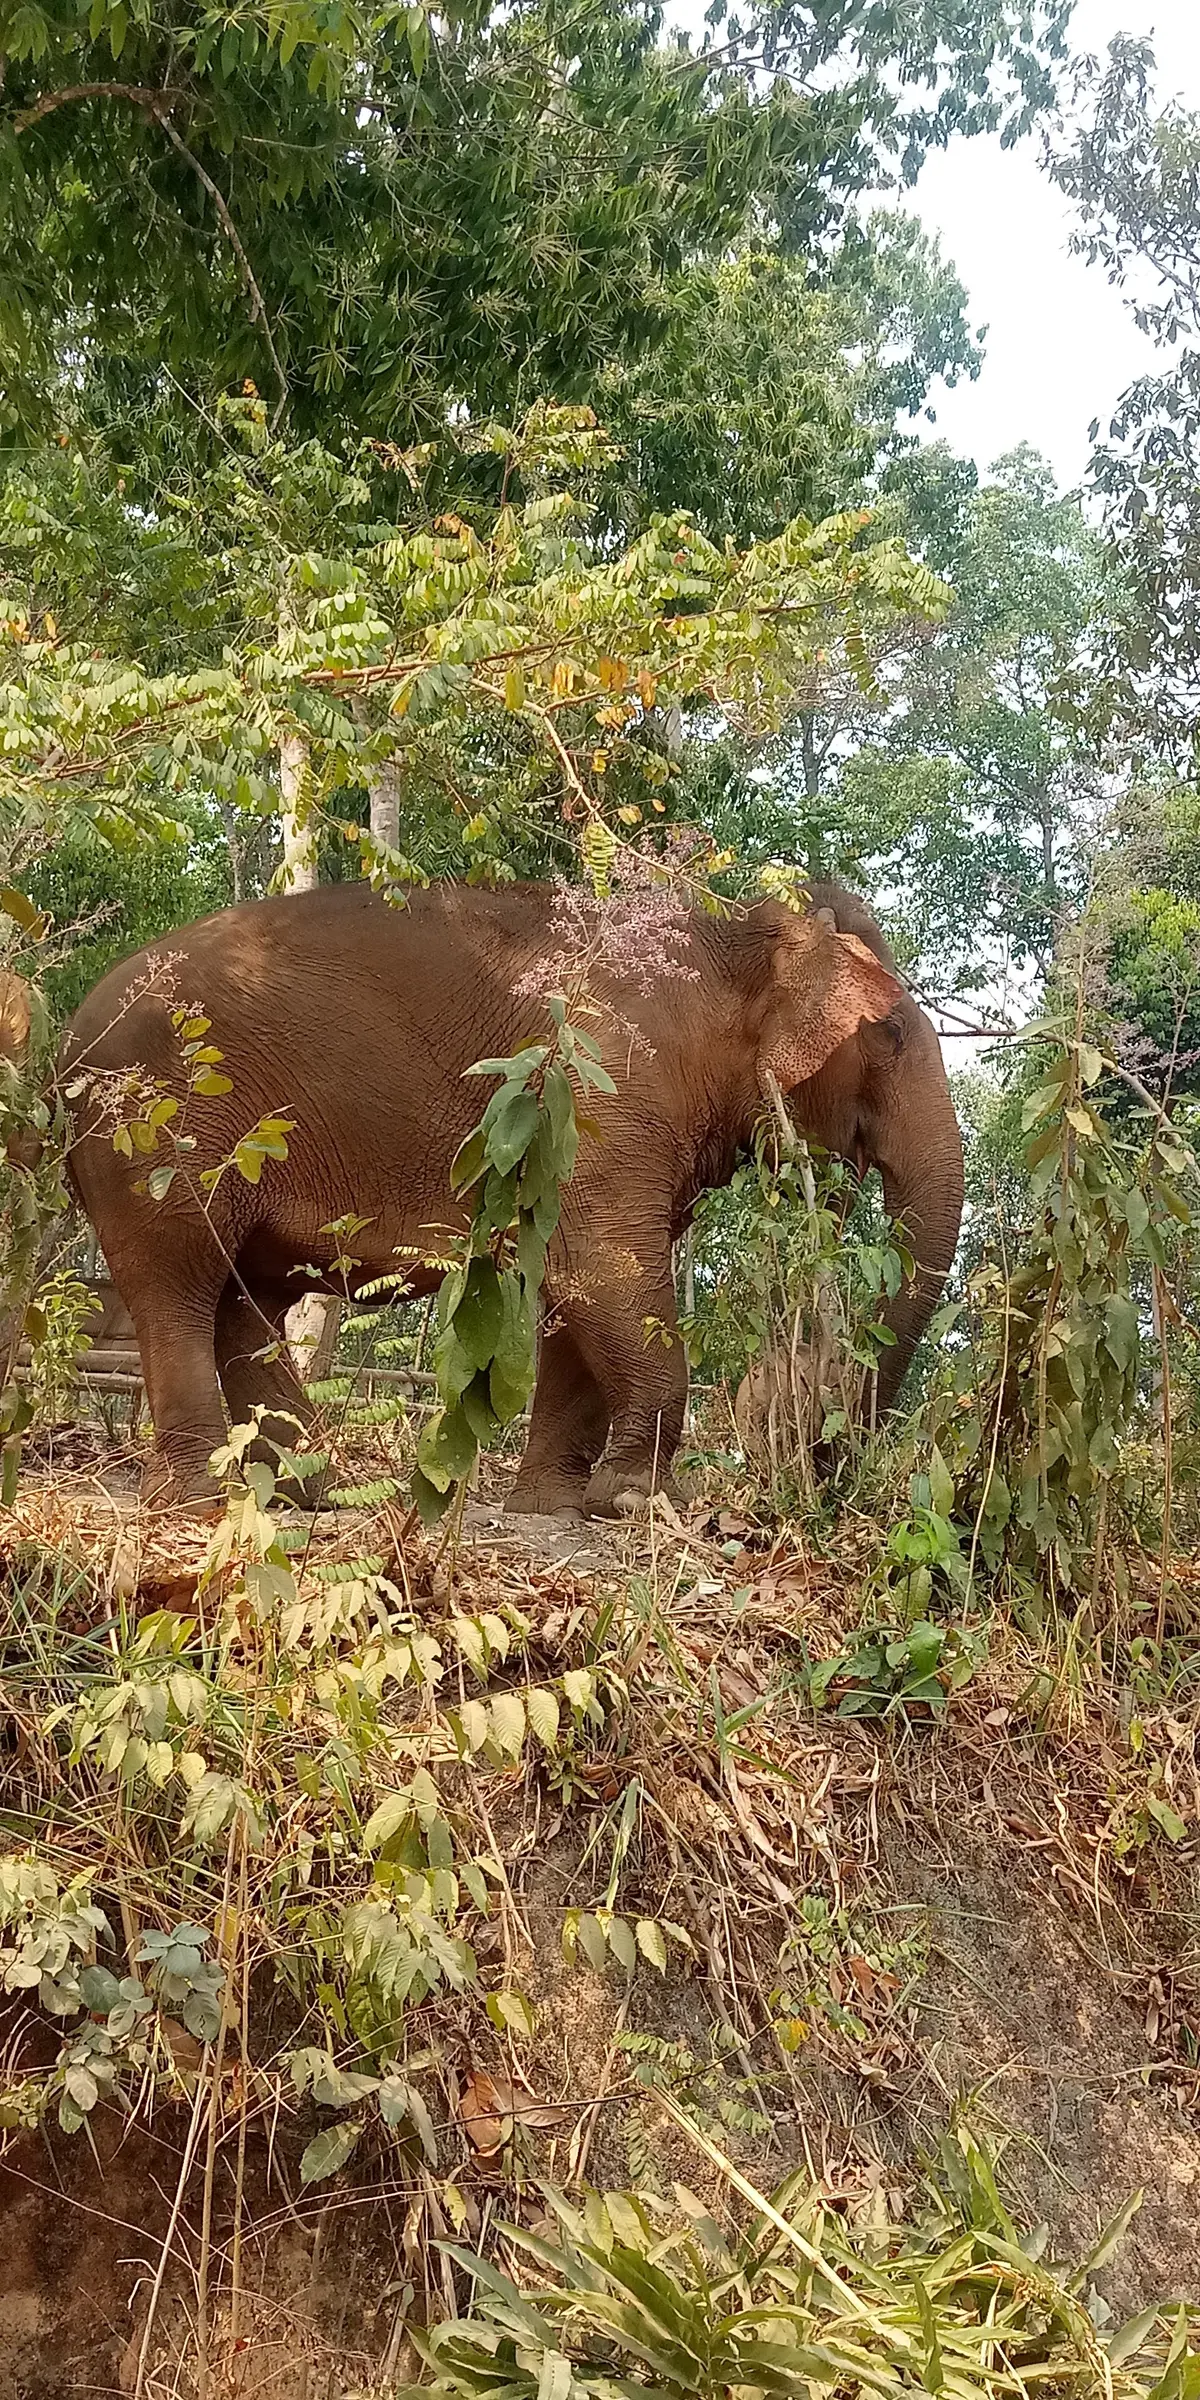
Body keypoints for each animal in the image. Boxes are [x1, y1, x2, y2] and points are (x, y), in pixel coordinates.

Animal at [56, 876, 962, 1515]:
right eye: (891, 1033)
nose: (824, 1460)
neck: (728, 930)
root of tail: (64, 1040)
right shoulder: (601, 1087)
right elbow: (605, 1270)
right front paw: (636, 1500)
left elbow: (577, 1291)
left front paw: (553, 1504)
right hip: (154, 1138)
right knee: (178, 1283)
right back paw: (199, 1500)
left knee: (245, 1302)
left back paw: (310, 1493)